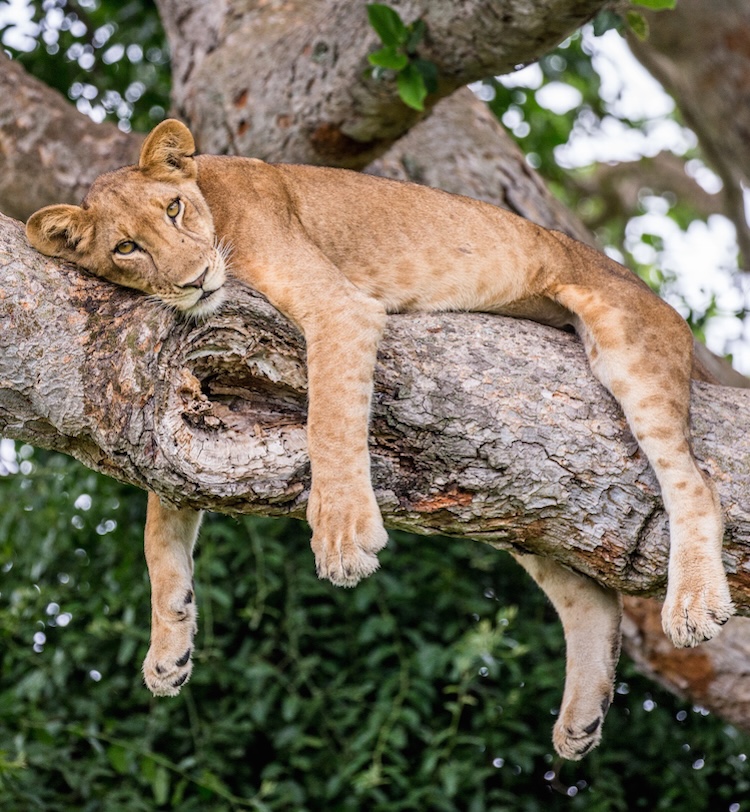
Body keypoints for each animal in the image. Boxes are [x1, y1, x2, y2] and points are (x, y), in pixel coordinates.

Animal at [26, 119, 734, 760]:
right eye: (126, 248)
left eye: (173, 209)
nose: (196, 278)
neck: (212, 202)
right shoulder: (180, 397)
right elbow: (158, 525)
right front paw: (166, 648)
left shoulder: (338, 306)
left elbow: (329, 420)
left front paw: (342, 537)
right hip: (511, 497)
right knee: (590, 598)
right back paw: (581, 718)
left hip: (626, 340)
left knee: (695, 484)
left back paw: (692, 604)